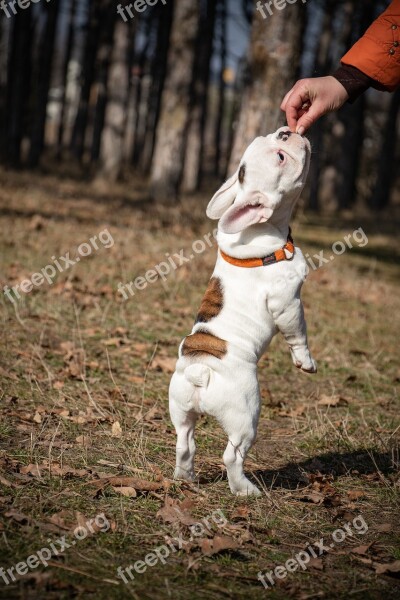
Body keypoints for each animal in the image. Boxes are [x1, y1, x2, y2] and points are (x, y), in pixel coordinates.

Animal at [168, 127, 316, 496]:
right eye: (280, 157)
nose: (287, 130)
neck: (256, 231)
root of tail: (200, 372)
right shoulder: (287, 302)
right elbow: (298, 333)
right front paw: (305, 362)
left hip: (180, 407)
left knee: (184, 442)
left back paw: (185, 478)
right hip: (245, 414)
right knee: (232, 454)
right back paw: (245, 490)